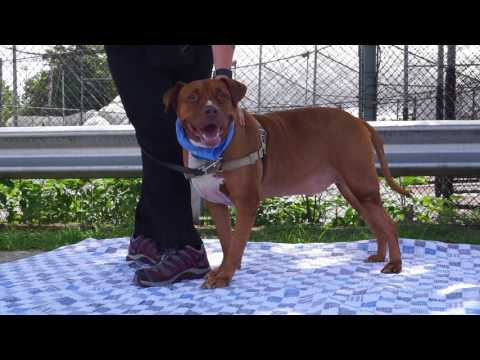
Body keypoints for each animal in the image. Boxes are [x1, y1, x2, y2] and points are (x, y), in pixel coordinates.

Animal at [164, 78, 408, 290]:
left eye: (222, 96)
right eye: (192, 97)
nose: (211, 110)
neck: (212, 154)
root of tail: (358, 121)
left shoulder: (246, 203)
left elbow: (236, 244)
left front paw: (225, 276)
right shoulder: (215, 204)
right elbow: (226, 240)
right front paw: (225, 270)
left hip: (362, 188)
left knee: (388, 224)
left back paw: (395, 264)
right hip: (353, 192)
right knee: (376, 223)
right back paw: (380, 256)